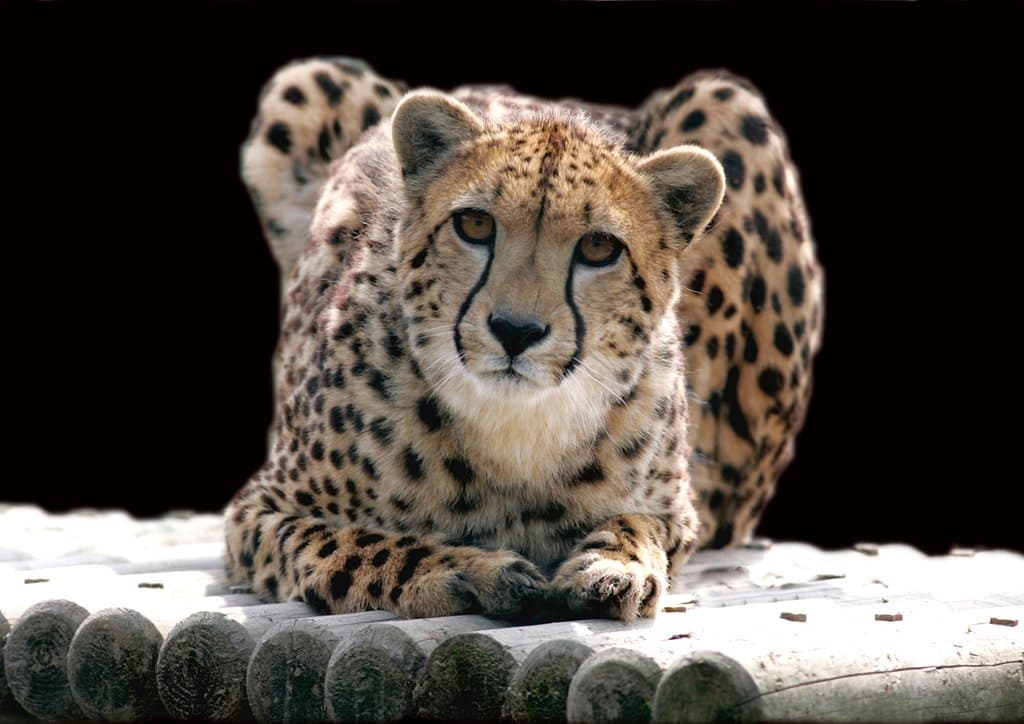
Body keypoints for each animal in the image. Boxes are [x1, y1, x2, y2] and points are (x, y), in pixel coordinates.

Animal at [225, 56, 823, 622]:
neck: (514, 428)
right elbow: (356, 545)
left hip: (726, 99)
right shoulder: (262, 511)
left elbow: (639, 524)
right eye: (474, 224)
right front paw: (468, 570)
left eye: (600, 248)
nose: (516, 331)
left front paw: (614, 565)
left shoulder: (676, 509)